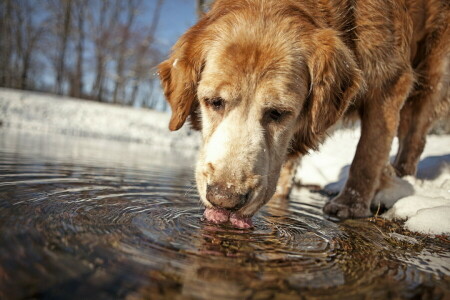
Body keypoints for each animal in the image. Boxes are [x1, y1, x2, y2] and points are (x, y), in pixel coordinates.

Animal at [157, 0, 446, 227]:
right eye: (214, 102)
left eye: (277, 112)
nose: (225, 200)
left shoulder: (390, 80)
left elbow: (368, 152)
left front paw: (350, 204)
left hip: (429, 73)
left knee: (414, 137)